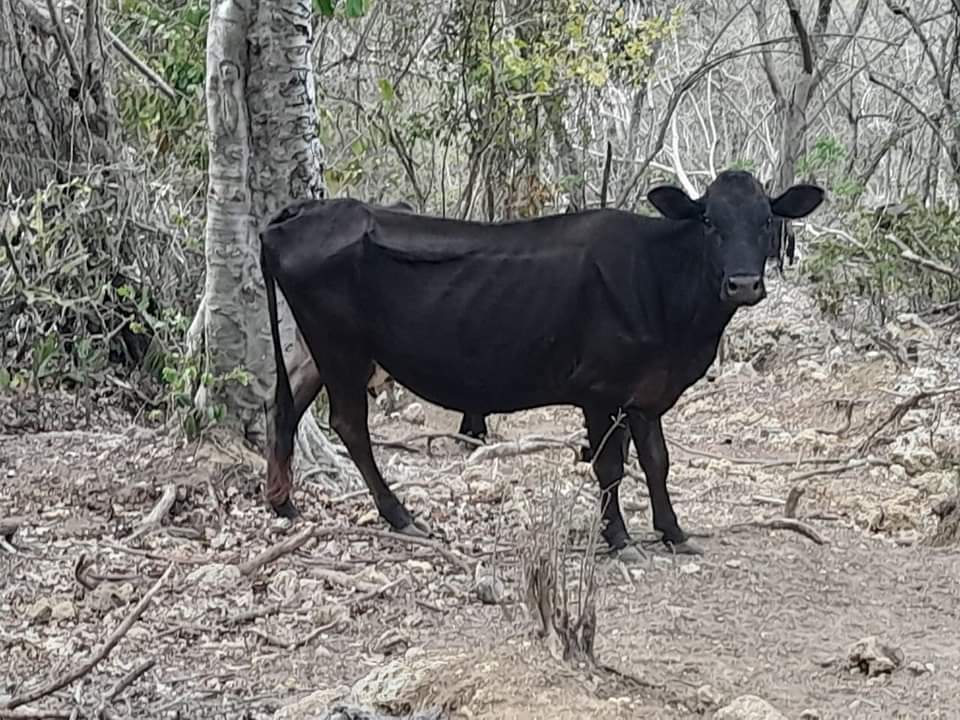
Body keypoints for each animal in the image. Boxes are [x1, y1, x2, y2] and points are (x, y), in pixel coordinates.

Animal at [259, 170, 824, 559]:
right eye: (709, 221)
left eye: (767, 220)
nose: (744, 284)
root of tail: (303, 213)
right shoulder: (599, 388)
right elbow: (610, 465)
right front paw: (619, 538)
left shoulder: (645, 392)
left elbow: (657, 460)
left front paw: (674, 531)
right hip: (341, 345)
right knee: (348, 424)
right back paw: (401, 516)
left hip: (319, 348)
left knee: (286, 403)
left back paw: (282, 502)